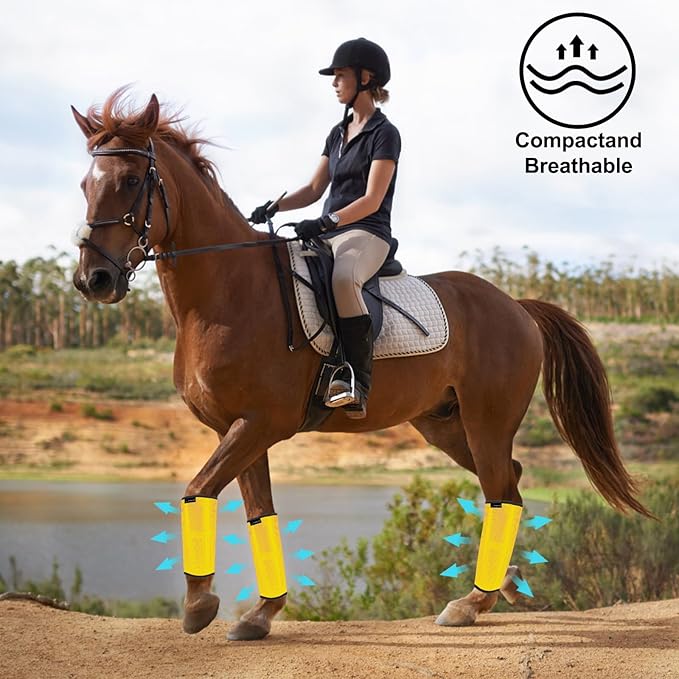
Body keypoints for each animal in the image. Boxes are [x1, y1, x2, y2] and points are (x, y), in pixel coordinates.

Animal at [71, 89, 654, 641]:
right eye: (83, 184)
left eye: (130, 180)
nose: (94, 279)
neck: (227, 292)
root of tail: (516, 305)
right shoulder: (235, 430)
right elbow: (258, 512)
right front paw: (260, 615)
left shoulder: (260, 424)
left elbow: (196, 490)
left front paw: (199, 606)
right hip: (444, 425)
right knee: (505, 483)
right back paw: (499, 586)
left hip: (486, 421)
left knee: (500, 487)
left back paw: (471, 602)